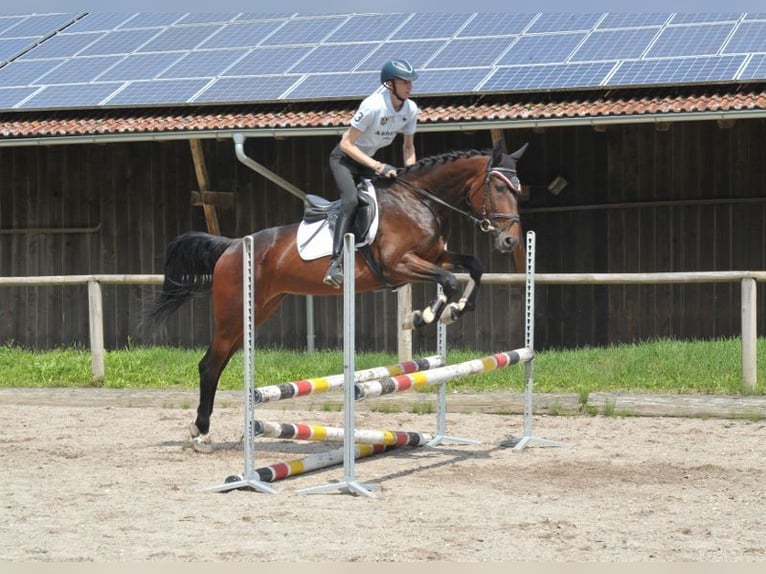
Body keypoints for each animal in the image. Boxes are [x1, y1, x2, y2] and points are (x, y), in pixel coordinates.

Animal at [148, 141, 532, 454]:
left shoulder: (435, 256)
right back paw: (200, 433)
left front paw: (457, 309)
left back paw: (208, 429)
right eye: (499, 186)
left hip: (259, 310)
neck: (419, 201)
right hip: (233, 313)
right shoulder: (399, 265)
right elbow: (450, 280)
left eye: (519, 190)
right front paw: (428, 314)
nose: (510, 241)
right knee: (210, 364)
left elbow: (474, 267)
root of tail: (231, 246)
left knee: (220, 360)